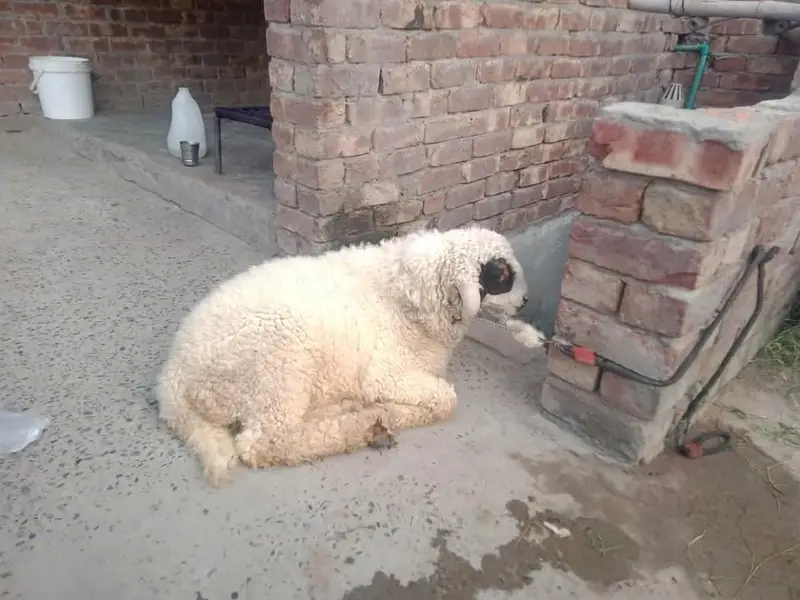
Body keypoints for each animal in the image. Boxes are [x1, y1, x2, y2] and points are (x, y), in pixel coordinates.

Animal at [155, 225, 546, 486]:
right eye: (502, 276)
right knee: (268, 443)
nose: (527, 302)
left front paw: (386, 413)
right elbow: (445, 400)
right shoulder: (387, 373)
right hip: (279, 366)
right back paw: (363, 427)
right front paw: (394, 414)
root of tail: (173, 378)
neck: (410, 292)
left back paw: (354, 411)